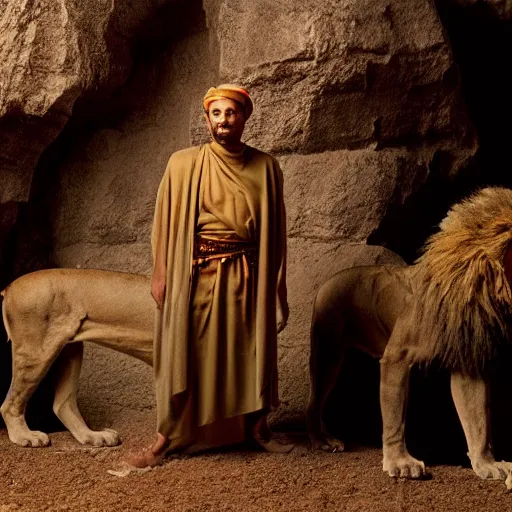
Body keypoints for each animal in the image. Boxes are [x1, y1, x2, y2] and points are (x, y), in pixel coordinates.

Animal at [0, 268, 154, 448]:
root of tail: (9, 287)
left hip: (69, 348)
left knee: (63, 404)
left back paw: (93, 436)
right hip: (36, 353)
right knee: (9, 405)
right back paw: (26, 436)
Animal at [308, 187, 512, 480]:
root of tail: (331, 278)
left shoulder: (467, 361)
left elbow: (478, 422)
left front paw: (486, 464)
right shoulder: (396, 357)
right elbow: (395, 418)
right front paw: (400, 462)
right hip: (328, 353)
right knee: (314, 400)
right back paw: (321, 439)